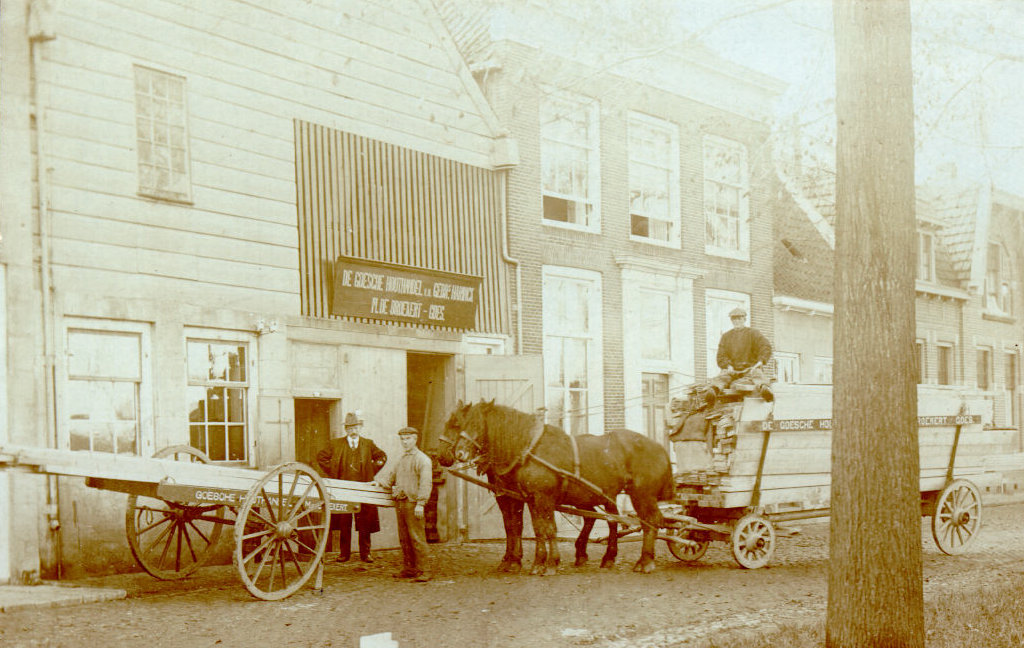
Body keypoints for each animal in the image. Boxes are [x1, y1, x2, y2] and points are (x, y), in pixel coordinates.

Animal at [436, 399, 675, 577]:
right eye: (457, 424)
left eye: (465, 423)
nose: (451, 455)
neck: (528, 448)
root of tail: (659, 446)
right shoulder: (528, 498)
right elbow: (533, 529)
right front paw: (534, 562)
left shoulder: (541, 498)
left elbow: (546, 529)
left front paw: (549, 563)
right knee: (615, 521)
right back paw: (609, 557)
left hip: (642, 495)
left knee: (650, 522)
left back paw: (645, 561)